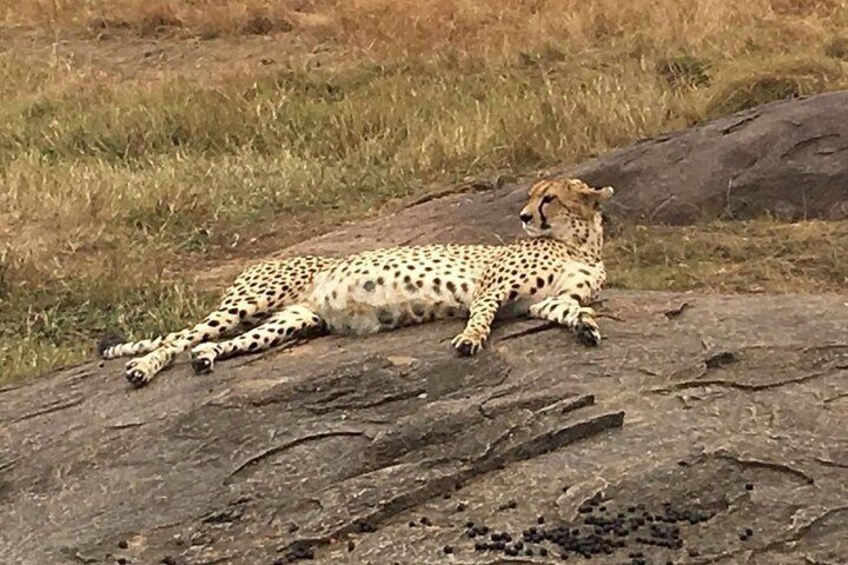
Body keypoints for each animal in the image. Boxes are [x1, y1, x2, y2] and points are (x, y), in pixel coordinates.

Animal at [98, 177, 615, 387]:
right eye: (532, 197)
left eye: (549, 198)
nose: (524, 216)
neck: (580, 244)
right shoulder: (493, 289)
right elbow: (481, 316)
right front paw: (468, 340)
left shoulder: (542, 304)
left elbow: (570, 309)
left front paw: (587, 327)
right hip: (249, 301)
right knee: (177, 339)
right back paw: (142, 369)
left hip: (293, 320)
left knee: (221, 343)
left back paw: (206, 359)